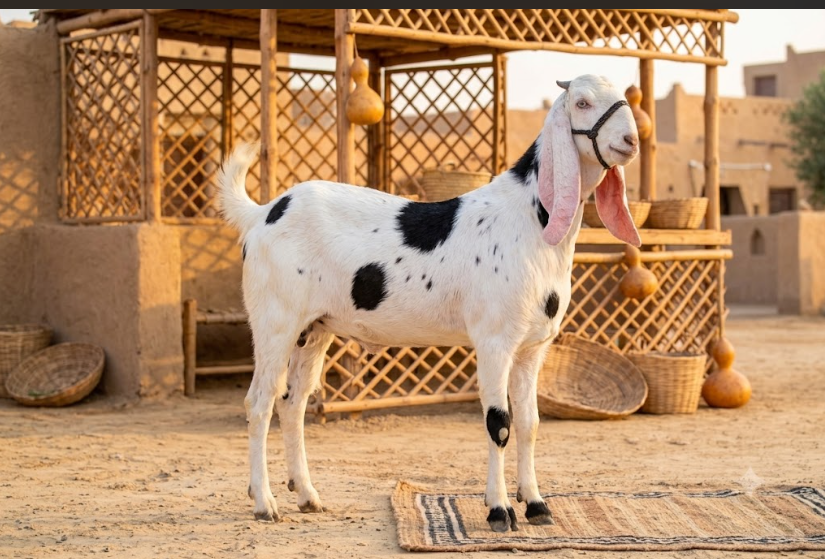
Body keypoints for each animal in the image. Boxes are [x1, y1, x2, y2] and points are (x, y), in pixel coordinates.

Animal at [217, 74, 640, 532]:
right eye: (581, 102)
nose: (631, 140)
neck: (529, 220)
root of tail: (263, 213)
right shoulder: (494, 342)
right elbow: (499, 423)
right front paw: (499, 510)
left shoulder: (532, 348)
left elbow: (529, 424)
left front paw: (536, 504)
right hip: (275, 323)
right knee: (259, 403)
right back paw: (264, 501)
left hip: (314, 331)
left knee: (292, 404)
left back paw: (307, 495)